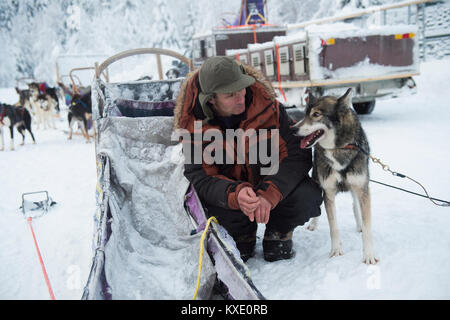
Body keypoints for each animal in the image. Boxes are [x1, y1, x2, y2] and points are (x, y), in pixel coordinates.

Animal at [294, 89, 378, 264]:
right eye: (305, 114)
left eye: (316, 114)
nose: (293, 129)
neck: (338, 148)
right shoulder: (328, 192)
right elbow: (334, 226)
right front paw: (336, 251)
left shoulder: (362, 188)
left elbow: (367, 227)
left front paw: (368, 255)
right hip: (317, 178)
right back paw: (313, 223)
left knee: (355, 204)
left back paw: (359, 224)